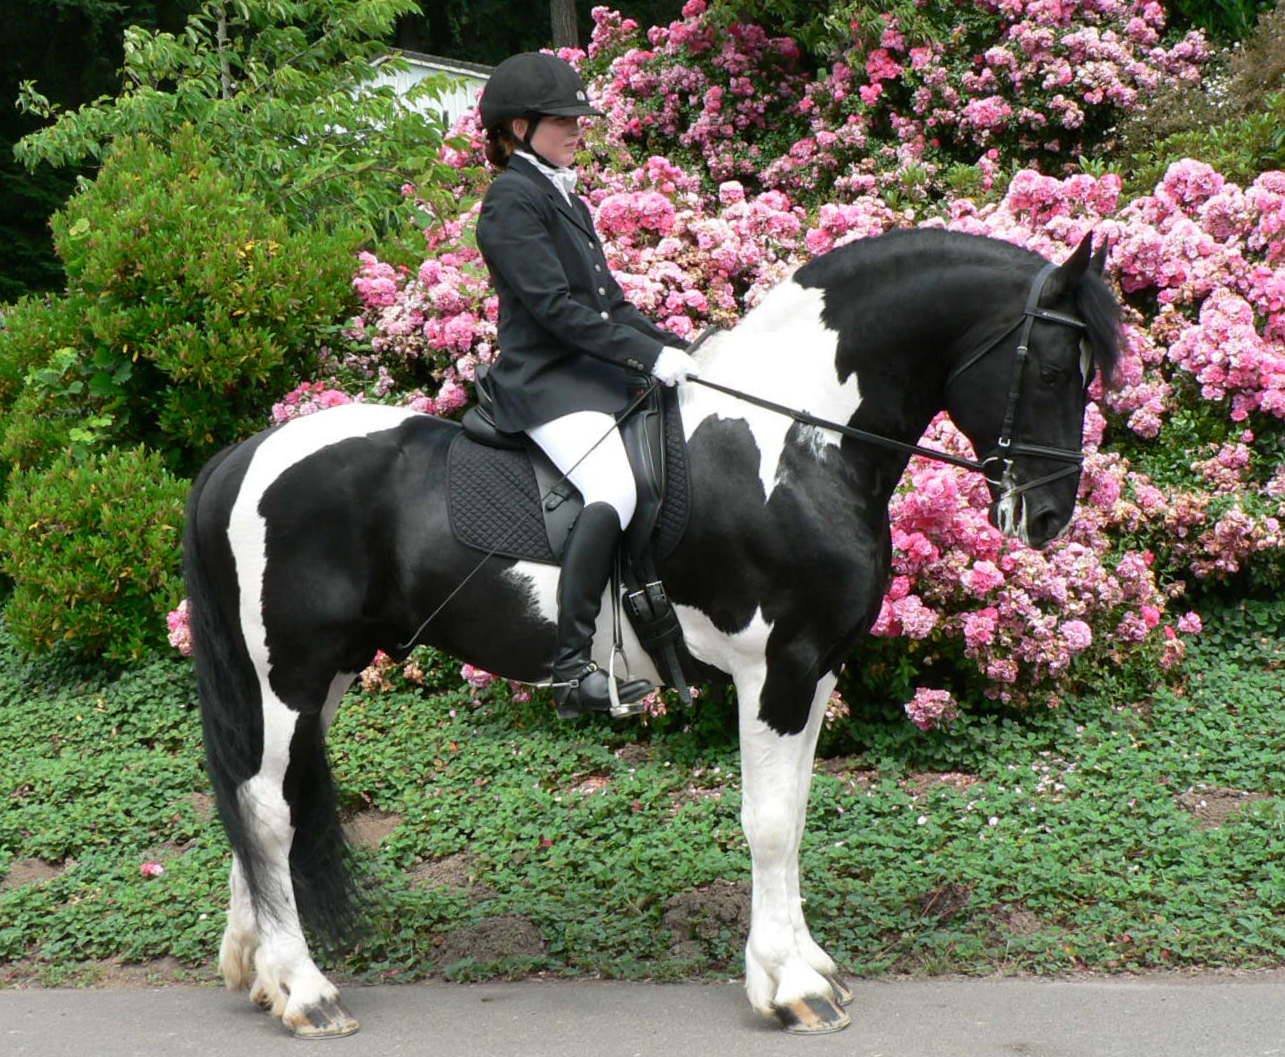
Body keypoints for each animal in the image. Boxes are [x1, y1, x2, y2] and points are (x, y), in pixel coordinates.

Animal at [183, 227, 1125, 1037]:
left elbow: (796, 812)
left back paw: (264, 973)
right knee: (266, 806)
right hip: (290, 672)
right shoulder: (776, 667)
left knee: (265, 797)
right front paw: (791, 985)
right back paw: (306, 991)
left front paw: (809, 962)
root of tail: (244, 456)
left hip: (323, 675)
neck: (794, 440)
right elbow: (768, 820)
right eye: (1050, 368)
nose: (1047, 517)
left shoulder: (815, 668)